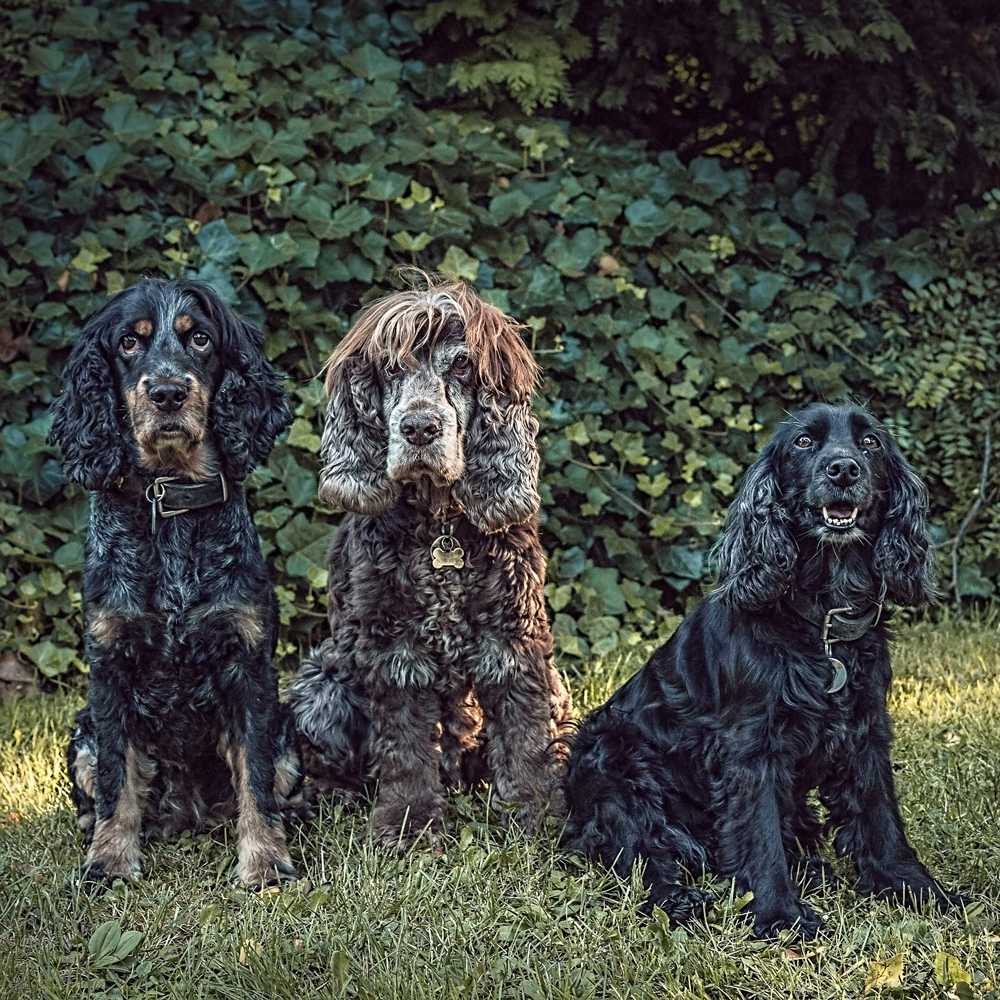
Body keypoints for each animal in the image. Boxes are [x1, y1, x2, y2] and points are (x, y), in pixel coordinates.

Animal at [48, 278, 296, 888]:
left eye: (200, 338)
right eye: (128, 343)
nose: (166, 393)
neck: (171, 501)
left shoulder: (247, 664)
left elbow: (255, 777)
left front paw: (266, 862)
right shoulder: (111, 666)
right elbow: (116, 779)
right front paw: (109, 862)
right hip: (80, 732)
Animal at [564, 404, 960, 936]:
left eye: (871, 442)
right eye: (804, 442)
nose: (843, 469)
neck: (822, 621)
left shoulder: (867, 732)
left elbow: (882, 822)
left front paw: (920, 892)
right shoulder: (752, 747)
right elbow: (761, 835)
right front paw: (781, 916)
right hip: (612, 763)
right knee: (643, 856)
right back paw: (680, 900)